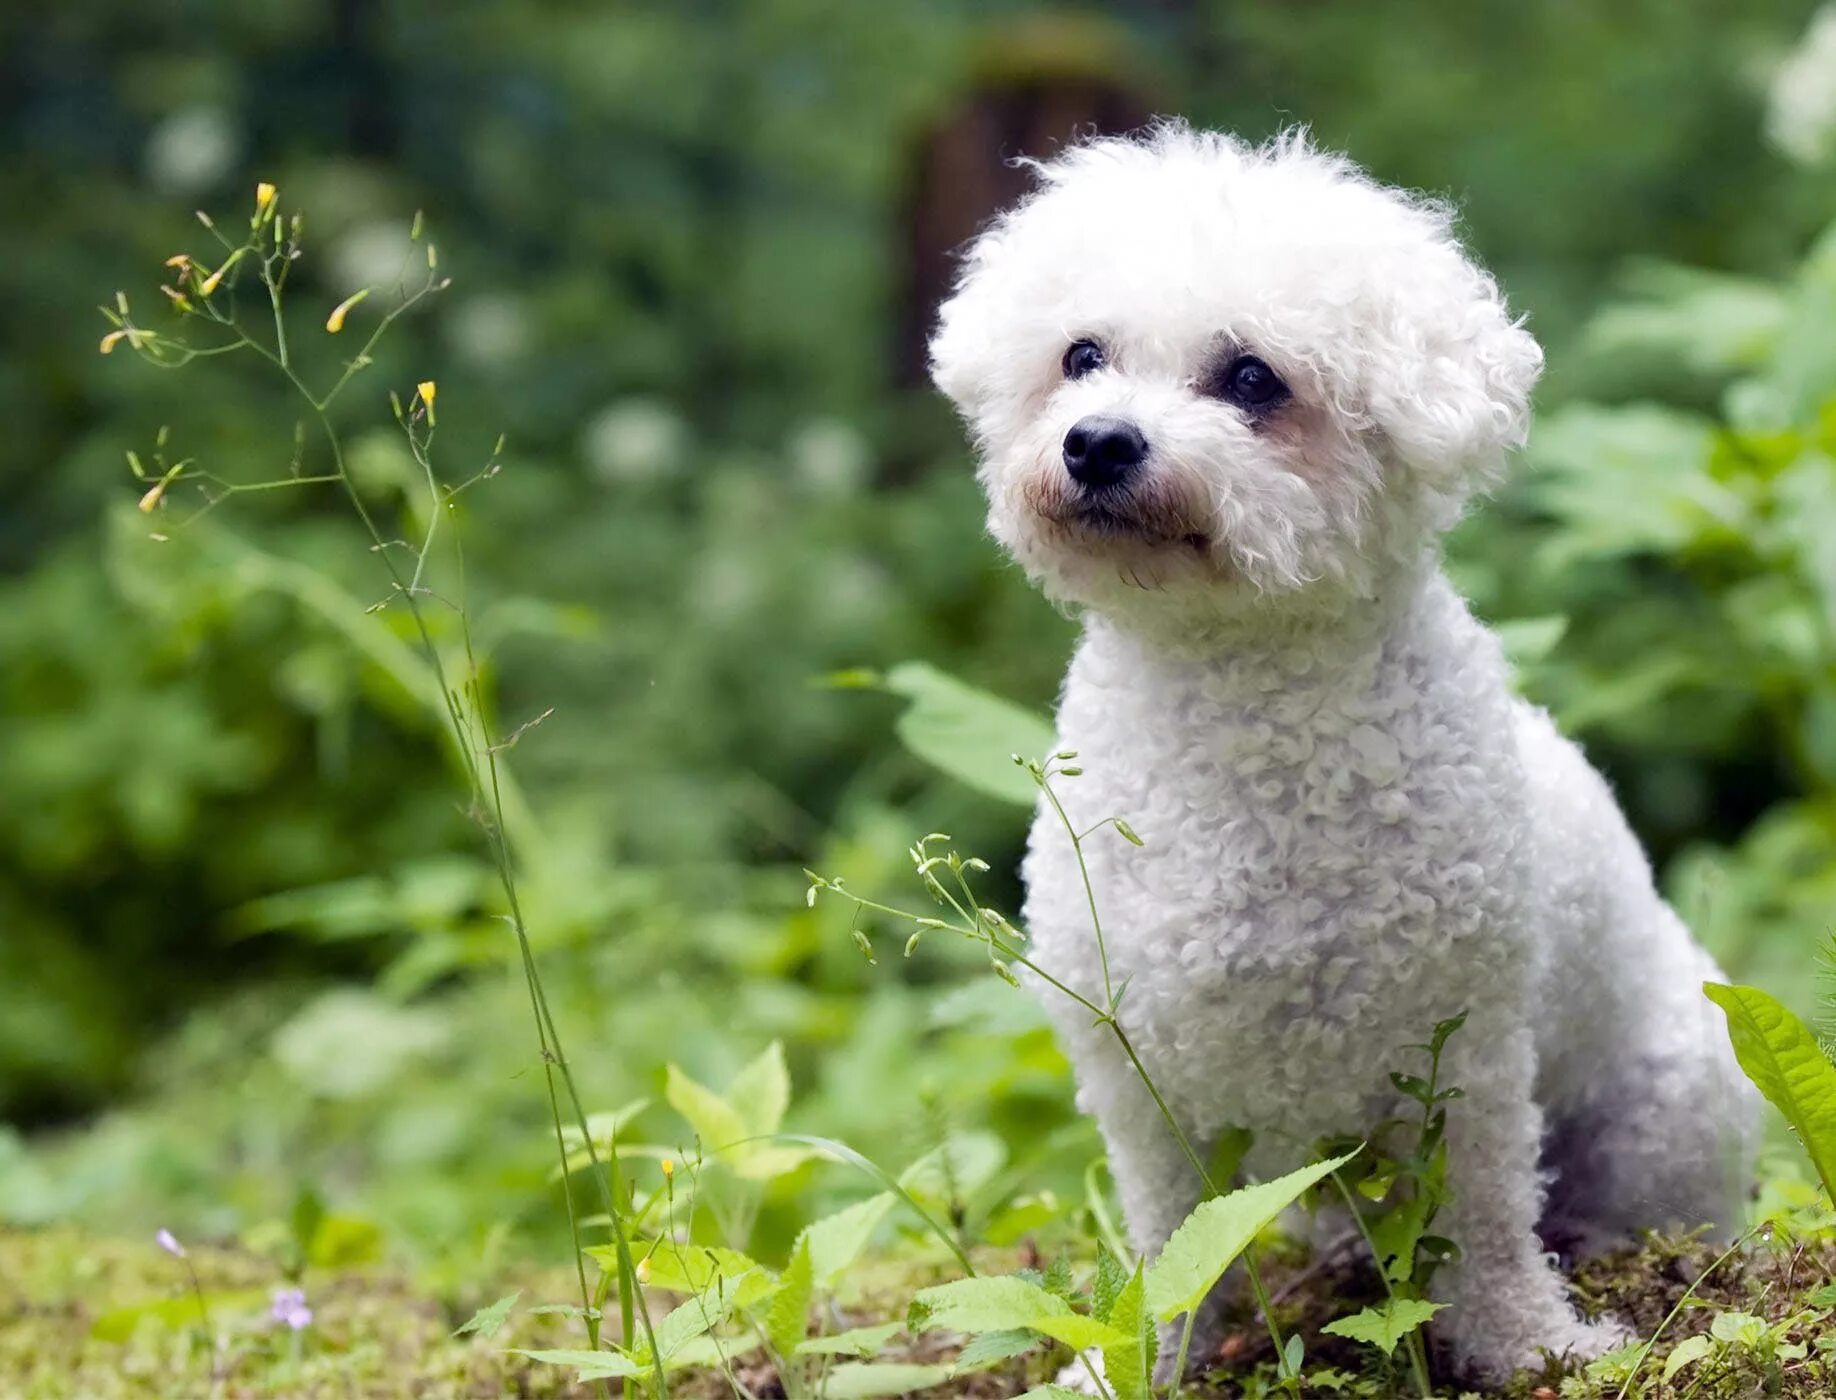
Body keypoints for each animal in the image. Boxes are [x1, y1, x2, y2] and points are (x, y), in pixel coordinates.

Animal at [940, 125, 1755, 1387]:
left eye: (1252, 379)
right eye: (1080, 356)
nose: (1098, 442)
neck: (1239, 702)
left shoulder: (1468, 1058)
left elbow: (1485, 1220)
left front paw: (1531, 1342)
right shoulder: (1139, 1083)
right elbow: (1172, 1245)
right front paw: (1138, 1361)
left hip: (1664, 1108)